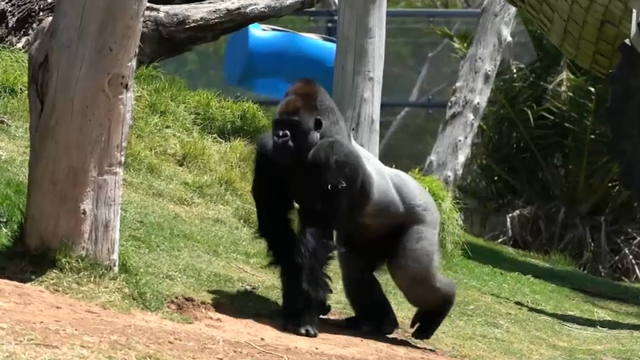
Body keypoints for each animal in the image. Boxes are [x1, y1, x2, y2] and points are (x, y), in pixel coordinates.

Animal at [250, 79, 456, 340]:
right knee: (357, 270)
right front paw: (296, 298)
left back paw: (442, 303)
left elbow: (315, 237)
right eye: (279, 125)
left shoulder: (334, 156)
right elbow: (276, 224)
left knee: (409, 272)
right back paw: (380, 322)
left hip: (425, 214)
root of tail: (429, 192)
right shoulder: (268, 151)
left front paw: (304, 311)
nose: (280, 136)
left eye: (292, 126)